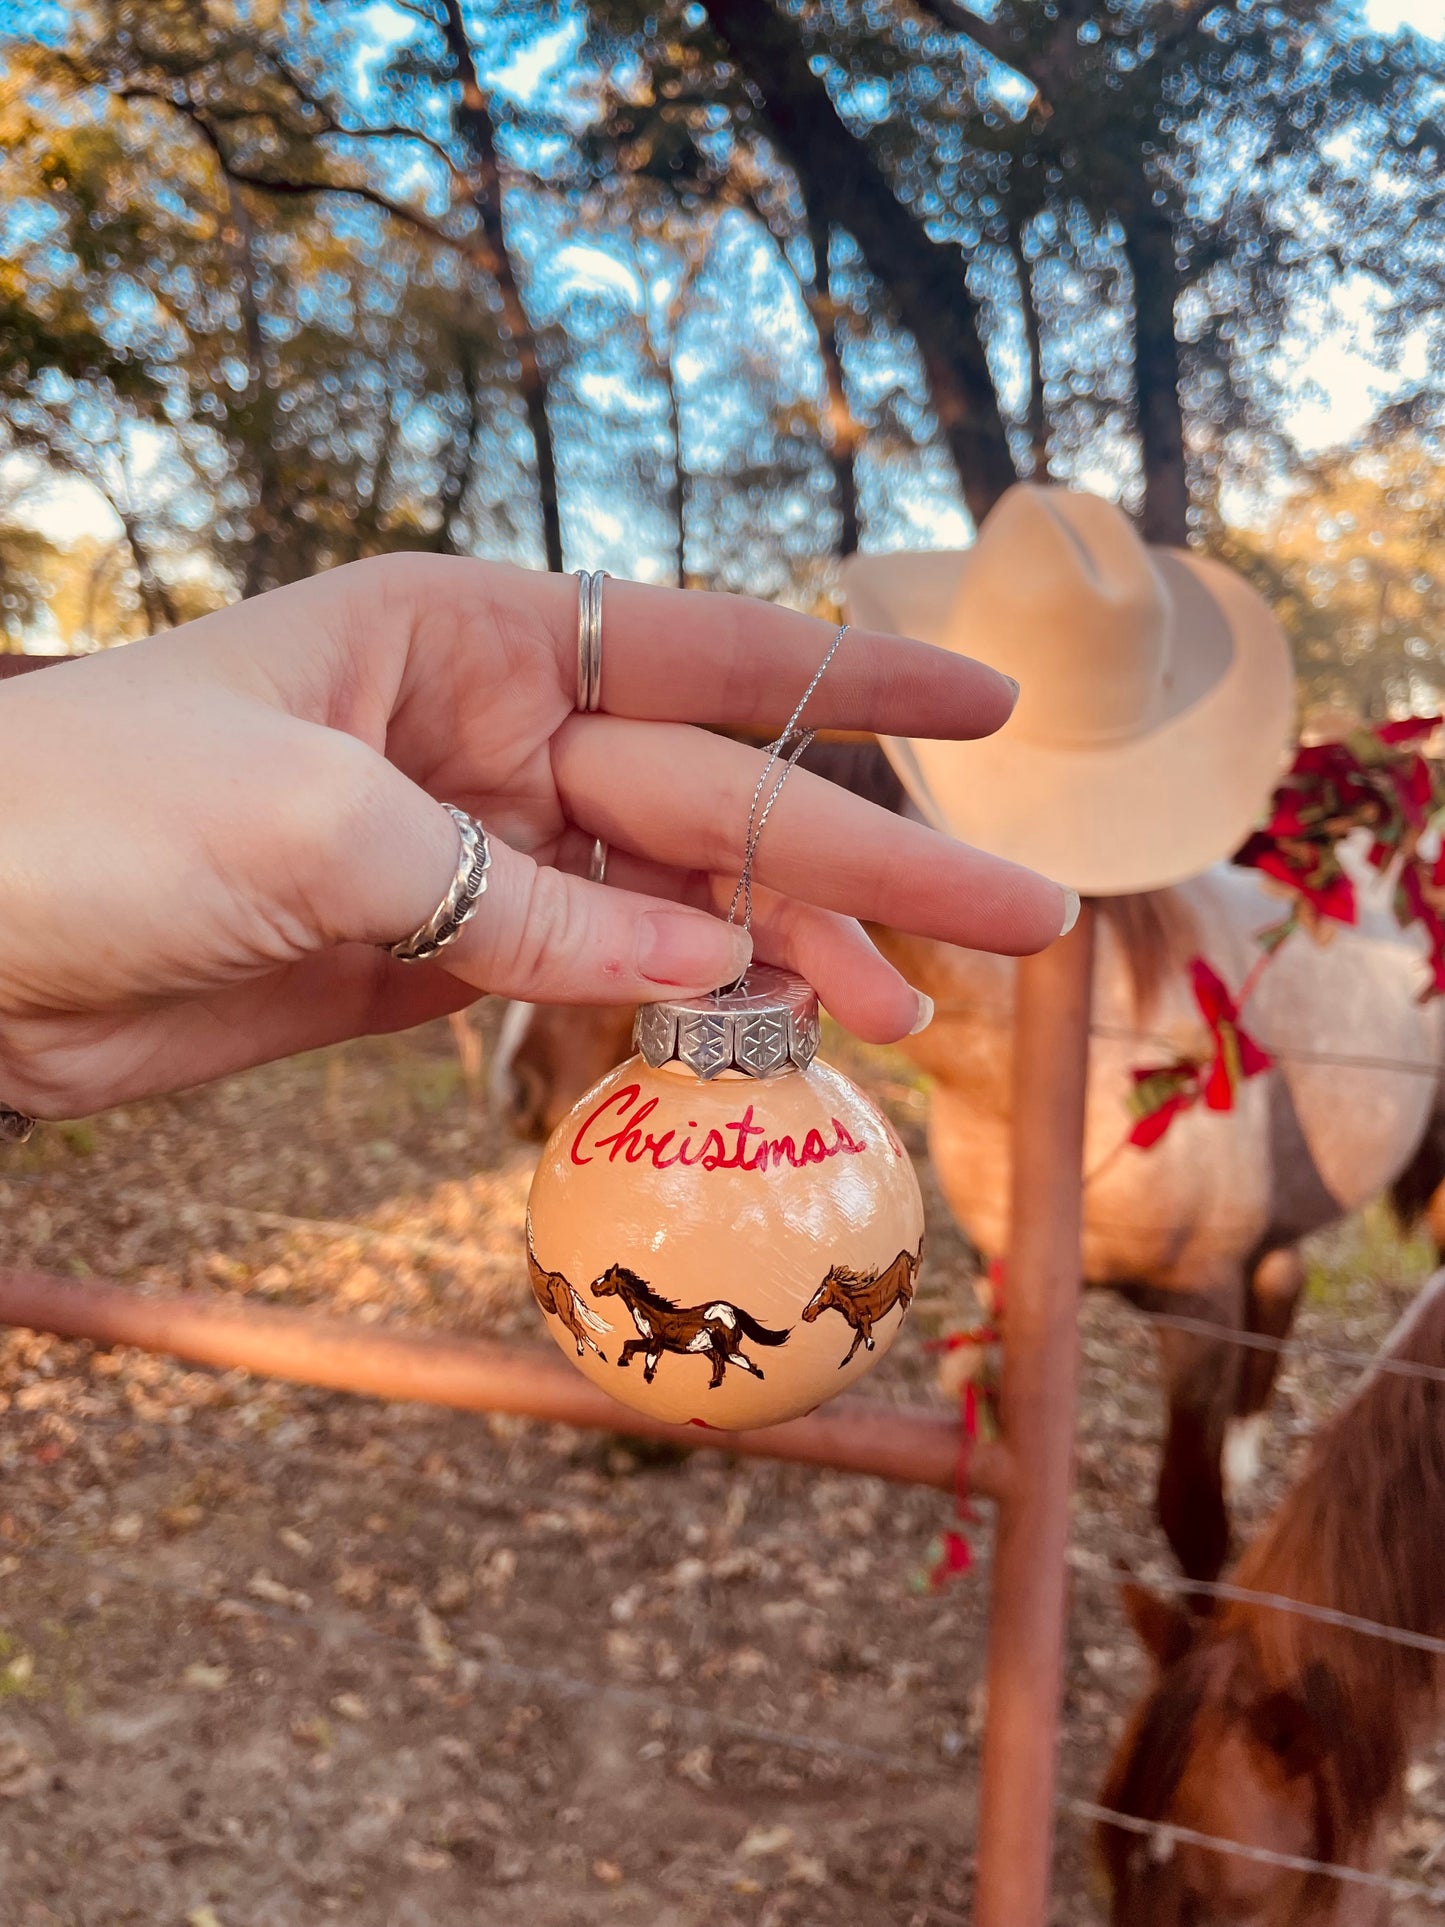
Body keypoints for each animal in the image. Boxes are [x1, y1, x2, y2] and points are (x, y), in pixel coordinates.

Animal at [527, 1217, 616, 1372]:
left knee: (577, 1330)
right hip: (569, 1313)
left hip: (564, 1314)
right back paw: (598, 1352)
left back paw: (584, 1350)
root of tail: (567, 1286)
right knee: (580, 1329)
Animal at [589, 1264, 793, 1387]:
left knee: (740, 1360)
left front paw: (648, 1377)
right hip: (710, 1348)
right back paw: (714, 1383)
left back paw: (759, 1376)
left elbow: (649, 1359)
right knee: (720, 1363)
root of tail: (731, 1309)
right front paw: (623, 1361)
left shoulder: (656, 1342)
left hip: (727, 1347)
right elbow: (629, 1344)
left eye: (606, 1277)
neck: (651, 1312)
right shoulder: (651, 1341)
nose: (592, 1287)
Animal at [805, 1233, 928, 1372]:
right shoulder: (859, 1327)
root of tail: (902, 1255)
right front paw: (844, 1362)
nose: (806, 1314)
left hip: (905, 1285)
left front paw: (870, 1343)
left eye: (822, 1291)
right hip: (901, 1293)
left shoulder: (865, 1318)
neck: (851, 1302)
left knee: (910, 1293)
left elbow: (864, 1337)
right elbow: (855, 1344)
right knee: (905, 1304)